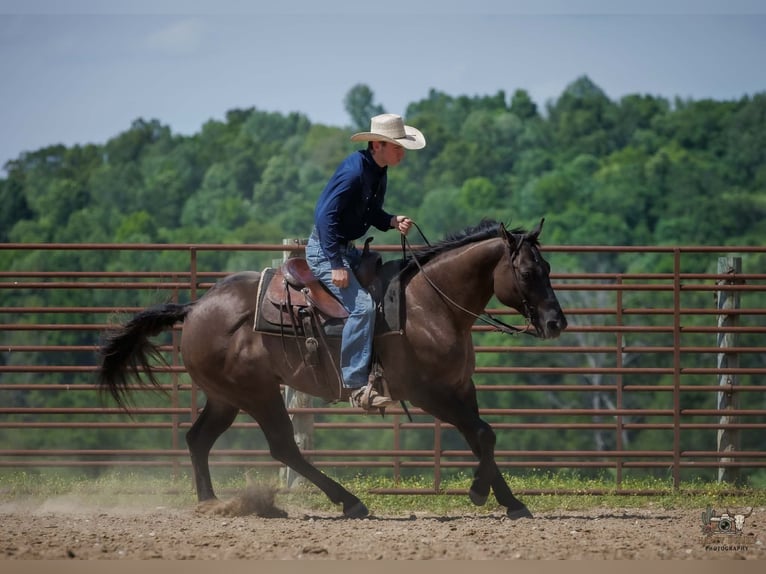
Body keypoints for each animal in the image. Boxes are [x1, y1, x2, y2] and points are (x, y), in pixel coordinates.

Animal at [97, 218, 567, 520]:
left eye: (548, 267)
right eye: (528, 271)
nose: (556, 323)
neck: (430, 304)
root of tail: (196, 307)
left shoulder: (460, 387)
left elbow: (481, 437)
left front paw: (508, 500)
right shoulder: (427, 392)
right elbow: (483, 435)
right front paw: (479, 492)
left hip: (225, 397)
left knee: (198, 439)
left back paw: (211, 502)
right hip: (257, 393)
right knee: (284, 448)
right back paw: (350, 502)